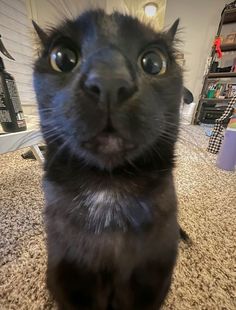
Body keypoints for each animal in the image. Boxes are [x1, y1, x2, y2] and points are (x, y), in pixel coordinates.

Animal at [33, 9, 183, 310]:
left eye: (154, 63)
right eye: (61, 58)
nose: (110, 80)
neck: (108, 190)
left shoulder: (156, 276)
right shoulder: (62, 273)